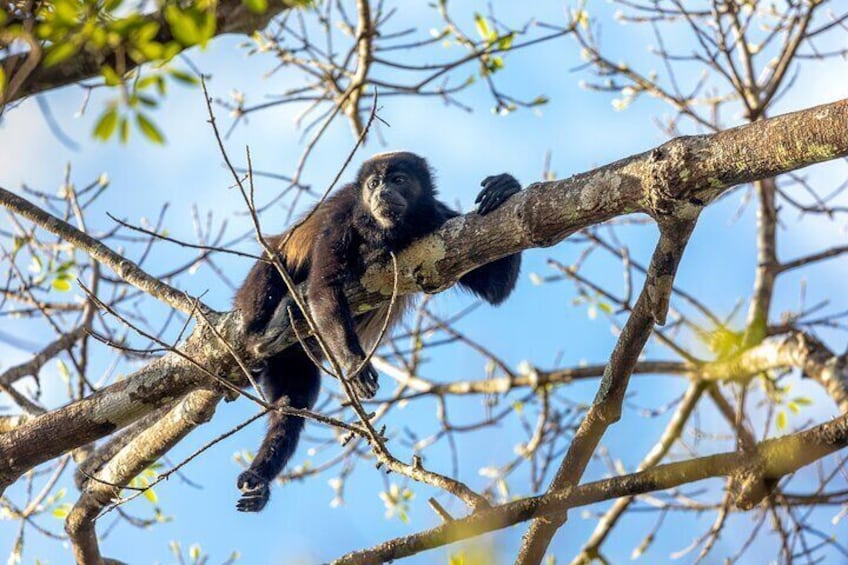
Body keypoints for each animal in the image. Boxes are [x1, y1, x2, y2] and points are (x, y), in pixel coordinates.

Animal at [232, 151, 522, 512]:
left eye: (398, 180)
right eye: (373, 183)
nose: (381, 192)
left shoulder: (440, 218)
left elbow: (496, 287)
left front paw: (506, 186)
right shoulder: (344, 215)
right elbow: (323, 287)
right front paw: (356, 364)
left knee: (292, 406)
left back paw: (261, 476)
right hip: (257, 289)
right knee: (273, 263)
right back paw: (266, 329)